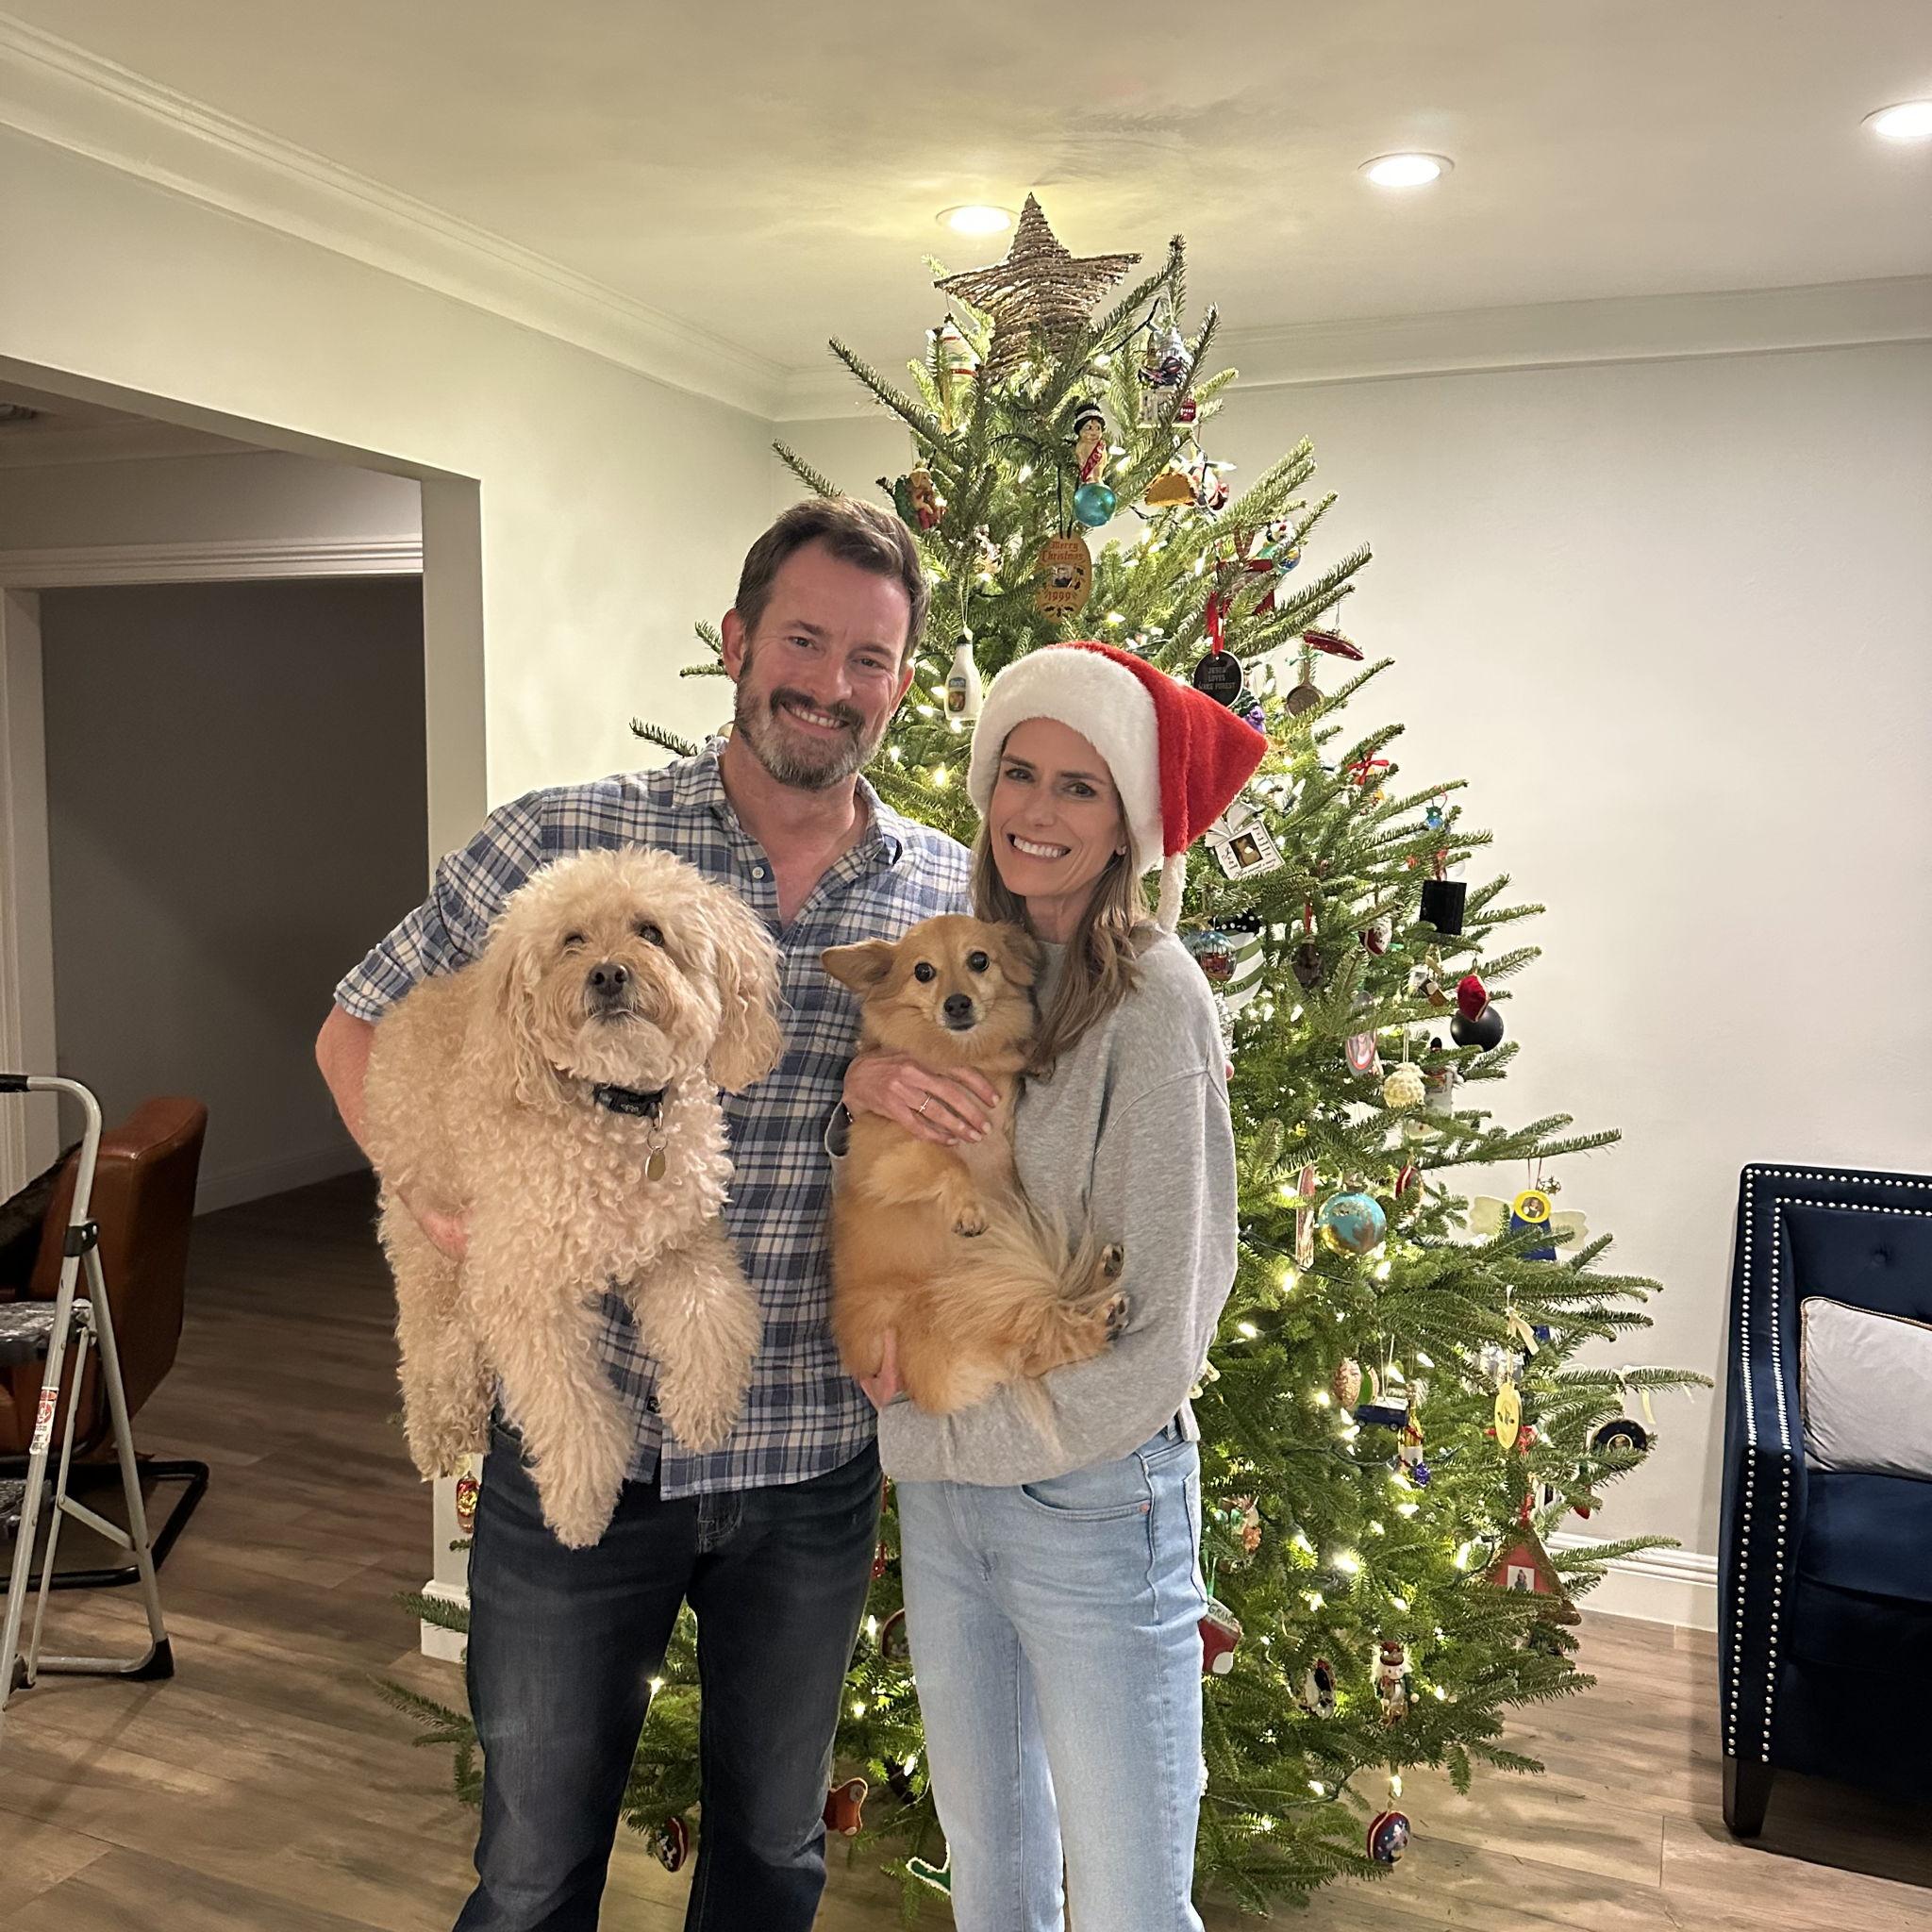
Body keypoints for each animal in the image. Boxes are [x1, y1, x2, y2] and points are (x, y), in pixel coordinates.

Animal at [363, 846, 783, 1548]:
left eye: (650, 931)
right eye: (572, 941)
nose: (608, 974)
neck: (620, 1109)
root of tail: (405, 1006)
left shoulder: (677, 1245)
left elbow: (714, 1321)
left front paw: (700, 1409)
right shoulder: (530, 1293)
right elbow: (574, 1412)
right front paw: (581, 1507)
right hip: (430, 1239)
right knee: (429, 1344)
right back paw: (440, 1429)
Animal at [822, 914, 1125, 1420]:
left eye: (979, 960)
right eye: (923, 972)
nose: (957, 1003)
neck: (961, 1056)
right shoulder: (891, 1159)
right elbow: (947, 1159)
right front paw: (968, 1210)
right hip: (957, 1300)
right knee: (1033, 1347)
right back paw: (1100, 1320)